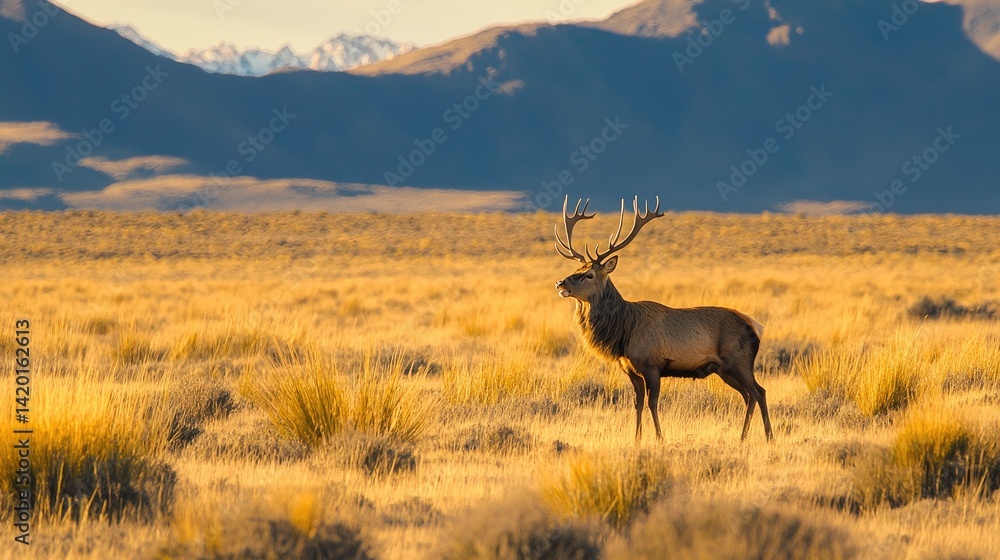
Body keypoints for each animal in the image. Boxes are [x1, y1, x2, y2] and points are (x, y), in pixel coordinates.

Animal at [553, 195, 773, 442]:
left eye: (589, 274)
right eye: (577, 269)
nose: (560, 283)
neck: (623, 331)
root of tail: (755, 327)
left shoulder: (652, 365)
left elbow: (653, 403)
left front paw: (659, 438)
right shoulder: (631, 369)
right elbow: (638, 404)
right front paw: (637, 439)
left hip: (739, 361)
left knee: (759, 391)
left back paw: (767, 436)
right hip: (723, 369)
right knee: (749, 395)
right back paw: (745, 437)